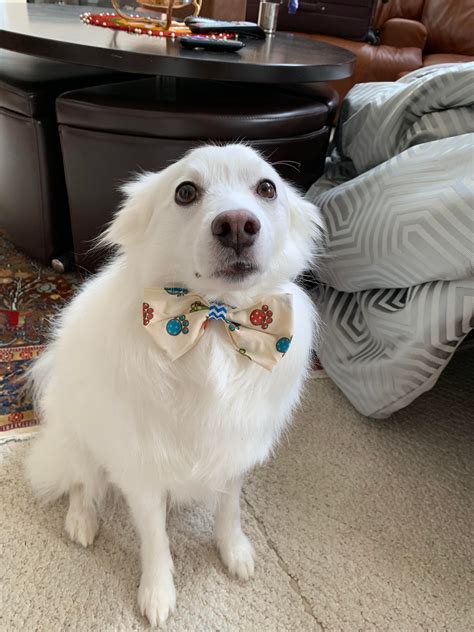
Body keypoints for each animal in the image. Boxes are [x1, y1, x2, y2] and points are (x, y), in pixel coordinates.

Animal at [25, 144, 322, 628]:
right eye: (185, 192)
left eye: (267, 188)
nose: (237, 224)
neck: (215, 327)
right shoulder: (140, 469)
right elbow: (155, 539)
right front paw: (157, 592)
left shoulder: (234, 452)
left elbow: (229, 509)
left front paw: (234, 551)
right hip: (81, 439)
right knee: (81, 482)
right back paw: (82, 521)